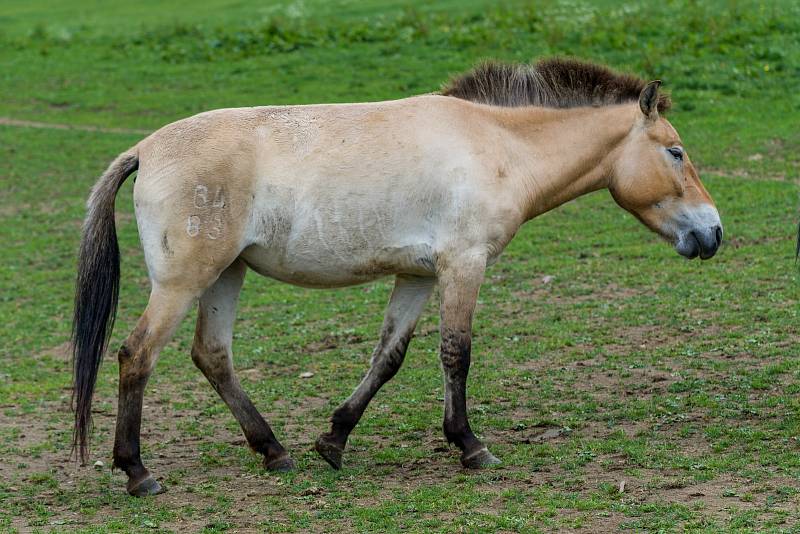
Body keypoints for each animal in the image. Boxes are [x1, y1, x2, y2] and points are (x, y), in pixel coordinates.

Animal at [72, 58, 724, 498]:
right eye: (675, 152)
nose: (713, 232)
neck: (497, 145)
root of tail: (145, 150)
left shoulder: (417, 275)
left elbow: (389, 356)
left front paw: (333, 441)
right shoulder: (464, 264)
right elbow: (456, 352)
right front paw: (470, 447)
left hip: (226, 275)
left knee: (212, 356)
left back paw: (275, 451)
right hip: (184, 283)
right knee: (136, 355)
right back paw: (138, 473)